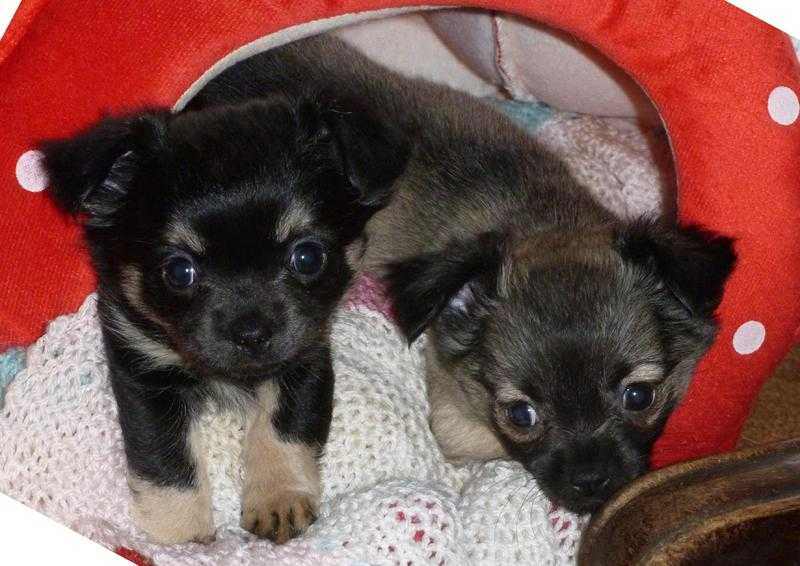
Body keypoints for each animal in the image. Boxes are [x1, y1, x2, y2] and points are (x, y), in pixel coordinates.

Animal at [40, 95, 410, 544]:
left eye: (307, 257)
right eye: (179, 271)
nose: (251, 333)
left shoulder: (306, 356)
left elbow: (286, 424)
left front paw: (278, 498)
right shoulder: (144, 371)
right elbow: (165, 454)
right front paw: (181, 535)